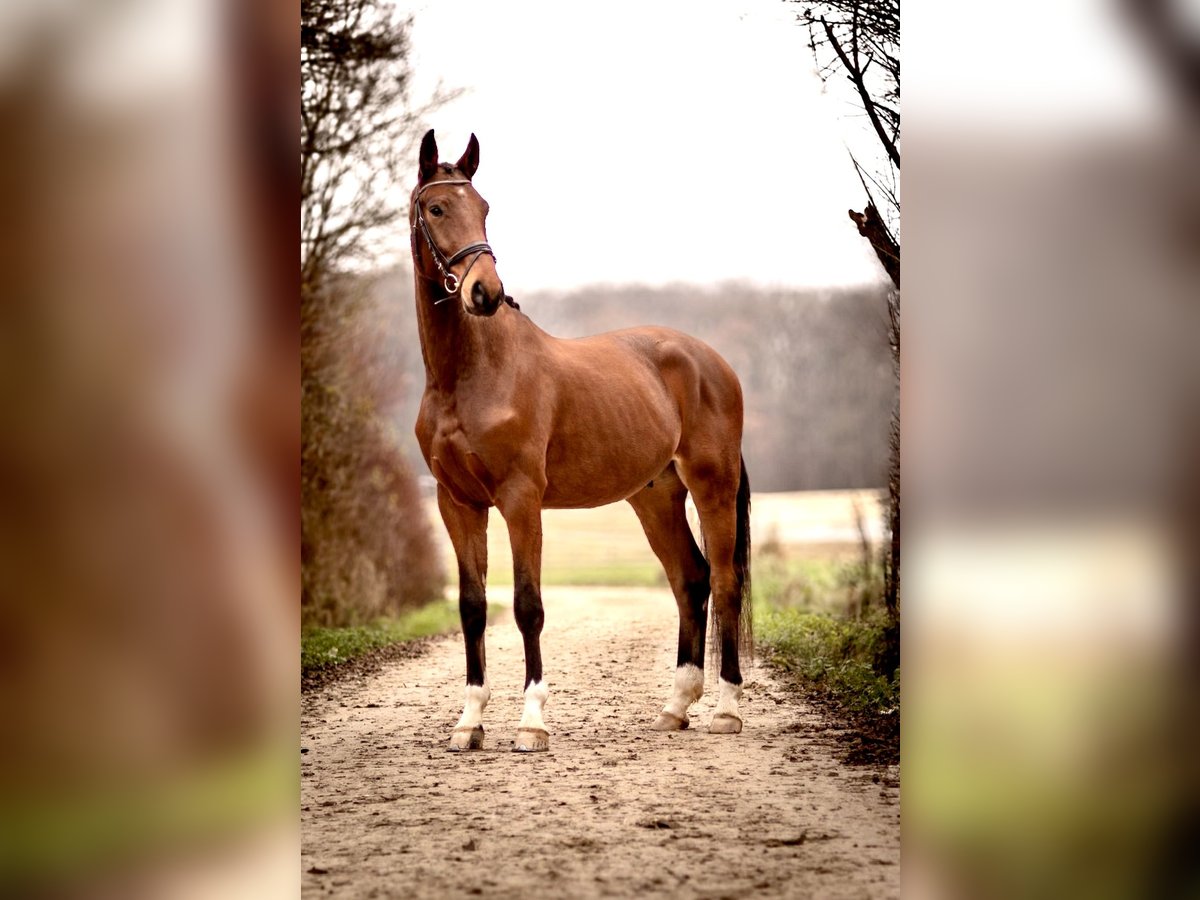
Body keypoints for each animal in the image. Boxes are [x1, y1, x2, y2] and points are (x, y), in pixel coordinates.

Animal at [412, 130, 748, 753]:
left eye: (485, 208)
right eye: (437, 208)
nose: (485, 292)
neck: (469, 375)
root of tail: (710, 361)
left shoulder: (521, 499)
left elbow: (527, 606)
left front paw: (531, 723)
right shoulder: (457, 503)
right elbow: (473, 608)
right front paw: (469, 722)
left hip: (713, 485)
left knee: (725, 579)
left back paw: (727, 710)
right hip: (655, 496)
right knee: (690, 579)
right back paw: (675, 707)